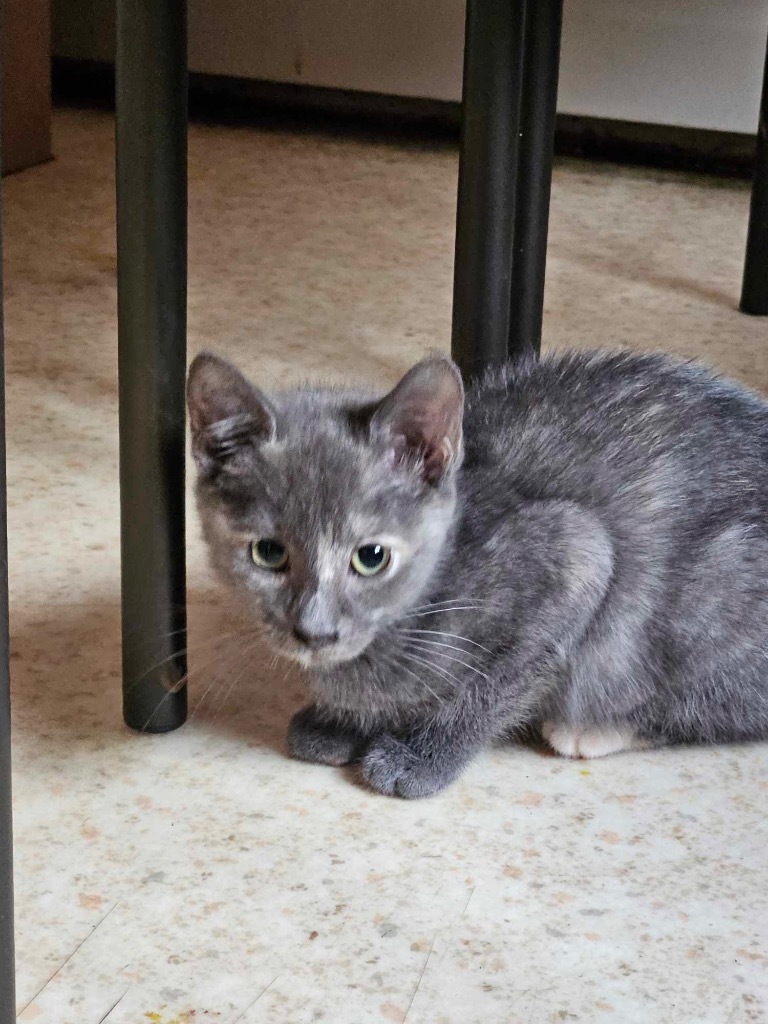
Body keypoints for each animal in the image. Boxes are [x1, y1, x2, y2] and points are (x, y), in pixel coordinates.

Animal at [186, 348, 768, 794]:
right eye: (268, 553)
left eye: (371, 557)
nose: (315, 631)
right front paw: (341, 720)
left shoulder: (576, 556)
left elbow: (493, 687)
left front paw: (422, 756)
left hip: (707, 593)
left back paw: (597, 728)